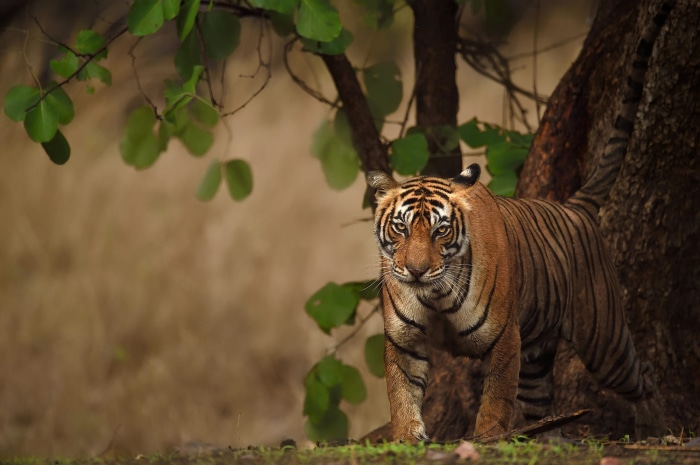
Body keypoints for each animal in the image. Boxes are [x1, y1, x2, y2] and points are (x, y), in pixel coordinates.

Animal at [367, 0, 673, 443]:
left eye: (441, 230)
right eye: (401, 228)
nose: (417, 270)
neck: (434, 295)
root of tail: (574, 207)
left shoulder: (504, 338)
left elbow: (496, 395)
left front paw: (487, 439)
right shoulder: (404, 339)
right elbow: (401, 391)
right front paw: (407, 437)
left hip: (605, 341)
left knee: (644, 375)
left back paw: (659, 428)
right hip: (540, 353)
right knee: (539, 401)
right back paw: (547, 436)